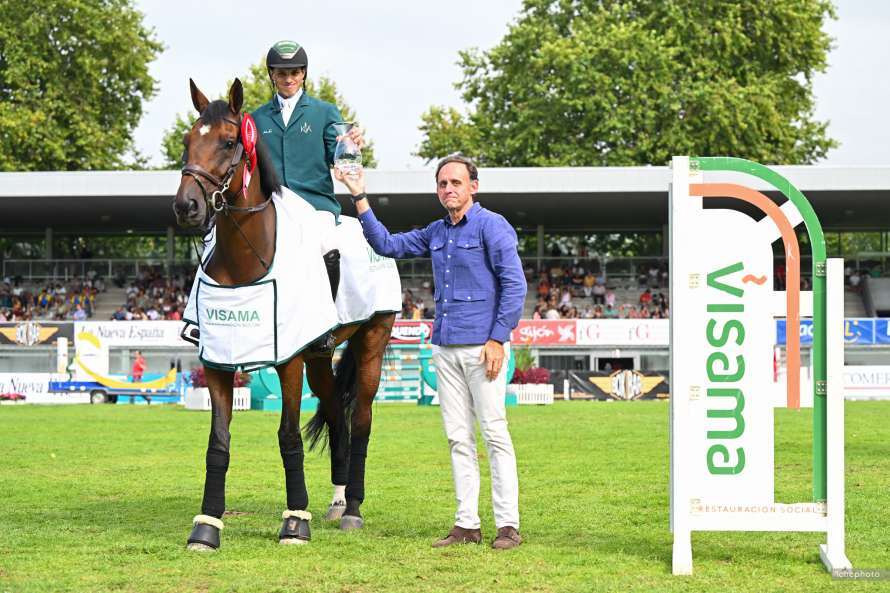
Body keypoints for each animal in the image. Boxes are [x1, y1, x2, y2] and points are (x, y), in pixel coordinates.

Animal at [172, 78, 394, 552]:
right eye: (186, 141)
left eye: (230, 141)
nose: (187, 207)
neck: (244, 257)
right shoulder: (217, 361)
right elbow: (218, 443)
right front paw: (206, 526)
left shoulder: (288, 360)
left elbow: (288, 436)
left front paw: (295, 521)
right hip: (319, 357)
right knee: (336, 414)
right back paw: (337, 499)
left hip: (371, 342)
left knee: (361, 418)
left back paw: (352, 508)